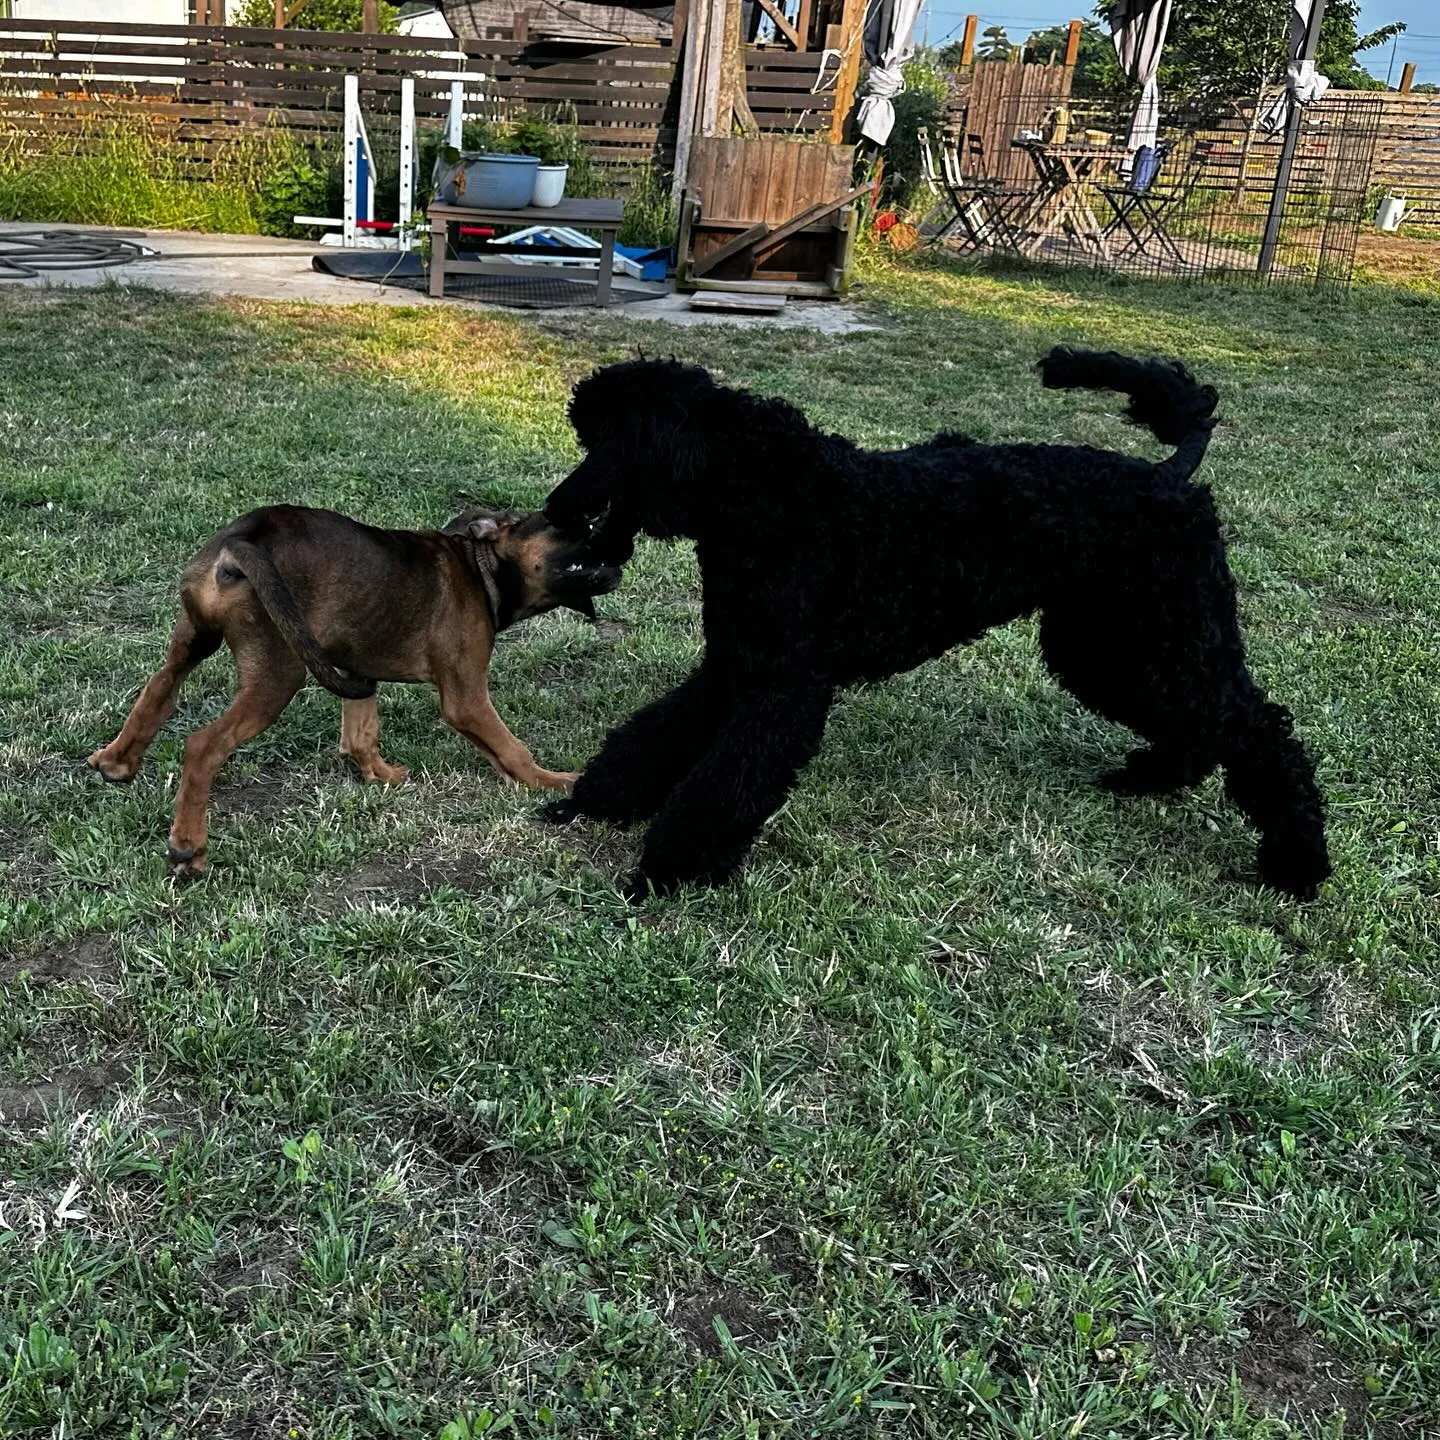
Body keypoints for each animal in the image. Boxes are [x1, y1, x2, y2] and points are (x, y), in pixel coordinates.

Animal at [90, 501, 619, 881]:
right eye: (564, 521)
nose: (613, 524)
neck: (482, 567)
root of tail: (243, 537)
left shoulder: (353, 668)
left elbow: (362, 727)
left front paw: (377, 774)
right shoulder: (466, 699)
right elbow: (512, 749)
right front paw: (553, 782)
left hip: (193, 640)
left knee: (157, 692)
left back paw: (116, 762)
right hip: (277, 675)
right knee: (203, 746)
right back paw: (189, 847)